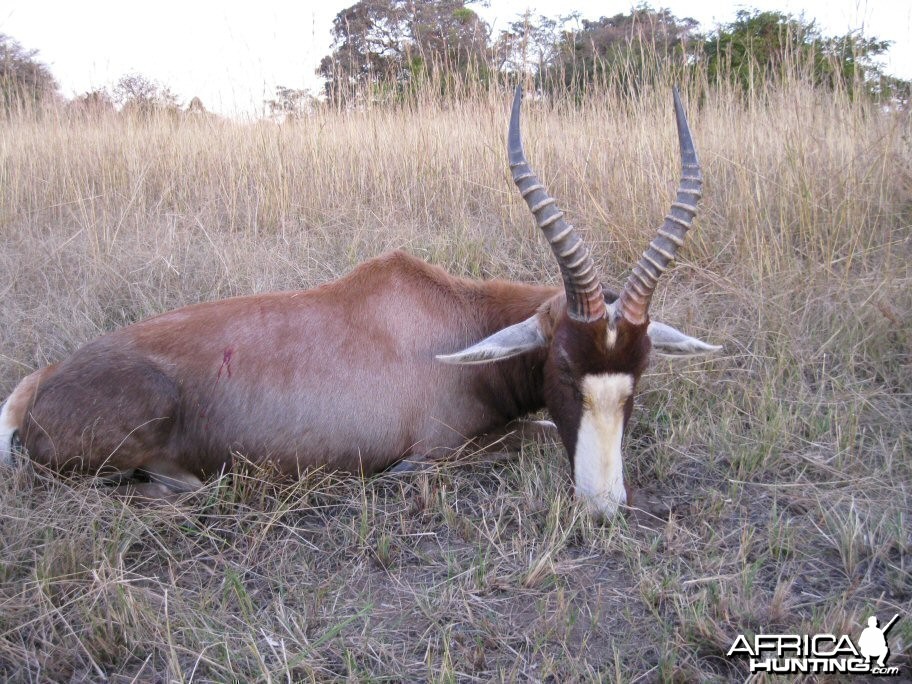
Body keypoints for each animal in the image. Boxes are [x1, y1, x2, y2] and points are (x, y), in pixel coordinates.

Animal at [3, 87, 724, 512]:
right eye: (566, 368)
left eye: (639, 373)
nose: (604, 505)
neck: (449, 318)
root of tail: (39, 386)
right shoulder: (439, 449)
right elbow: (527, 437)